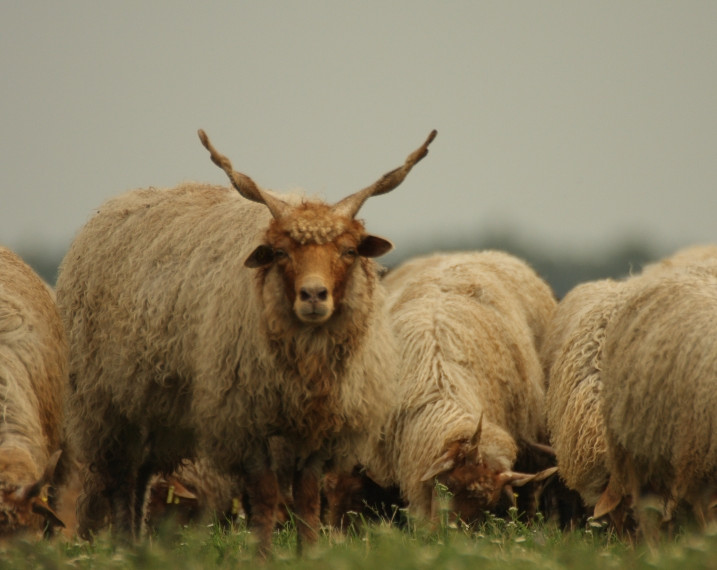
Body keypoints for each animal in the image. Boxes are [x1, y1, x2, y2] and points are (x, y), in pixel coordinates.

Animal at [55, 128, 436, 553]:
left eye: (349, 250)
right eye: (281, 252)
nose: (314, 295)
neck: (307, 363)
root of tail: (115, 203)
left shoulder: (320, 428)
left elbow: (308, 498)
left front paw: (309, 552)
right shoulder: (244, 419)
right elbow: (266, 496)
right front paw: (264, 554)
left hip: (153, 410)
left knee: (140, 477)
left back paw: (138, 545)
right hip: (105, 405)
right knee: (120, 480)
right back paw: (124, 546)